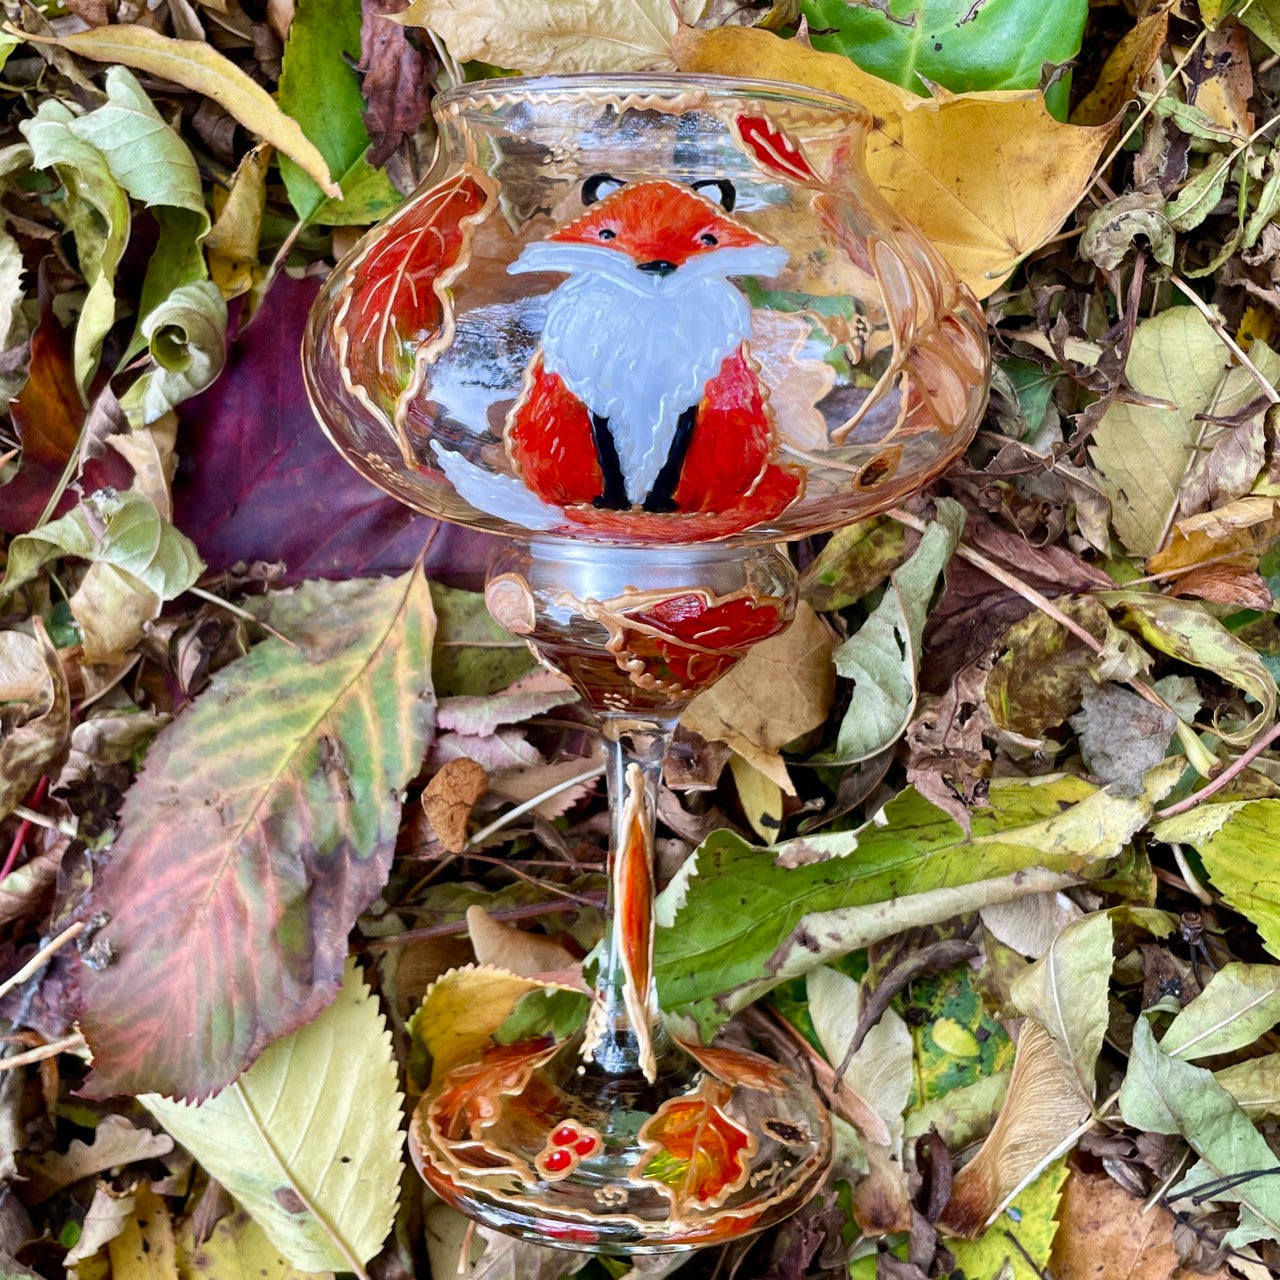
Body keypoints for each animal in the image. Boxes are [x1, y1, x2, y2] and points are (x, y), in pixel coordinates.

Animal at [434, 175, 803, 536]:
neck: (651, 321)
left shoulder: (689, 396)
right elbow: (608, 455)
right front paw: (612, 502)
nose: (657, 265)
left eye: (708, 239)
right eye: (607, 234)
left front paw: (659, 505)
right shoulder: (597, 393)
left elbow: (672, 460)